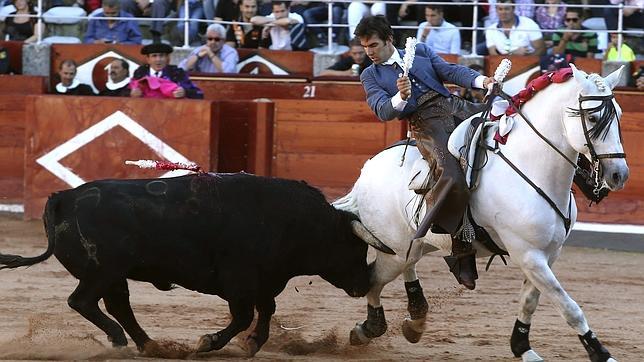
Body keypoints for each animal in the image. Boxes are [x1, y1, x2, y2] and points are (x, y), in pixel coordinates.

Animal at [0, 173, 392, 356]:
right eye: (354, 248)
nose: (363, 284)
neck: (294, 221)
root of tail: (64, 197)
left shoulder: (263, 280)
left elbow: (265, 310)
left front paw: (253, 344)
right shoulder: (239, 280)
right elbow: (244, 315)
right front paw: (209, 342)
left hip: (114, 275)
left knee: (117, 306)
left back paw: (148, 345)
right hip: (103, 271)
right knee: (82, 301)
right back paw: (120, 339)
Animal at [334, 65, 632, 362]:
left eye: (618, 114)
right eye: (592, 117)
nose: (619, 175)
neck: (531, 166)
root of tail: (365, 172)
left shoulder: (548, 253)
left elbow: (529, 301)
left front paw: (522, 347)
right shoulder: (528, 254)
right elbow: (569, 307)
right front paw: (601, 354)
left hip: (417, 243)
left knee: (406, 265)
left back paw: (415, 319)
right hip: (393, 250)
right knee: (373, 280)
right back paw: (370, 328)